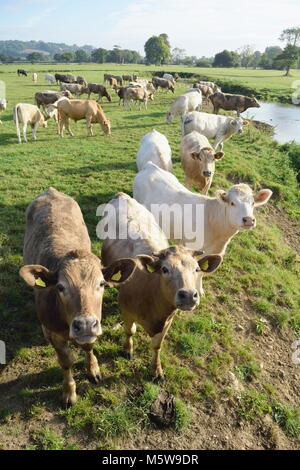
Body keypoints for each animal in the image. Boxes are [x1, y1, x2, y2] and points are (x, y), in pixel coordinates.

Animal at [18, 186, 136, 404]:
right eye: (60, 287)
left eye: (102, 283)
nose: (86, 324)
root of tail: (51, 191)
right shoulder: (51, 332)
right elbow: (66, 361)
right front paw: (69, 392)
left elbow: (89, 347)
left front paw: (93, 369)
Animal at [100, 193, 220, 380]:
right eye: (165, 269)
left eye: (197, 269)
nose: (188, 295)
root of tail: (123, 195)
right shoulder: (127, 312)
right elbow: (130, 331)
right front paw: (128, 350)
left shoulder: (168, 322)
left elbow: (157, 345)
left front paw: (156, 369)